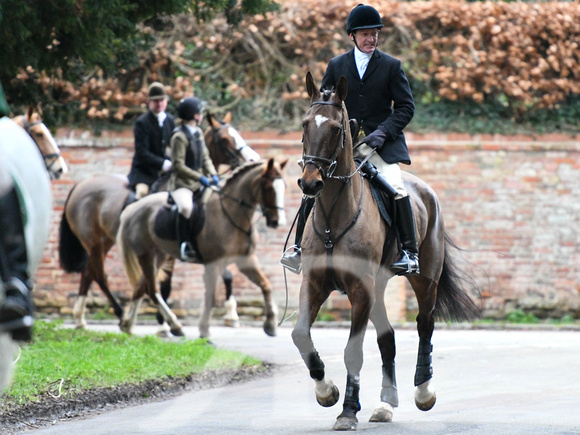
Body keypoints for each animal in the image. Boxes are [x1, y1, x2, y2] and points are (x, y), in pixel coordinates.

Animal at [59, 114, 258, 328]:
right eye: (224, 139)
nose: (253, 159)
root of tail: (80, 185)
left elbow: (227, 275)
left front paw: (231, 313)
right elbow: (164, 284)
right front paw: (163, 321)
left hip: (105, 241)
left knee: (89, 272)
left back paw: (80, 318)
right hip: (94, 241)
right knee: (99, 275)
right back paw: (119, 313)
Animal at [117, 158, 288, 338]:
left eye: (284, 186)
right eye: (268, 188)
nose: (278, 222)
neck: (231, 215)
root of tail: (133, 208)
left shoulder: (246, 260)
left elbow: (266, 285)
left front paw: (270, 324)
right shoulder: (213, 264)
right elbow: (210, 297)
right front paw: (204, 330)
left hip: (160, 256)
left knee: (140, 287)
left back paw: (128, 325)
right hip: (146, 255)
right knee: (152, 290)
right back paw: (174, 325)